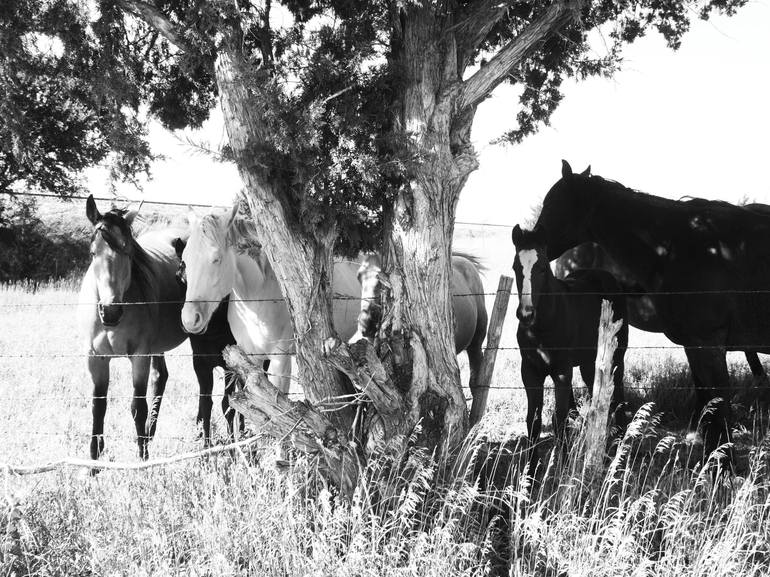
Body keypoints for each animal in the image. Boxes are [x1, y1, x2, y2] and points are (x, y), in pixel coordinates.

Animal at [78, 196, 188, 462]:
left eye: (128, 252)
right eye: (92, 253)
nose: (110, 311)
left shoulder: (140, 356)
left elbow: (138, 407)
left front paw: (142, 459)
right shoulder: (95, 359)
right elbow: (98, 407)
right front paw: (94, 463)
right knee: (161, 377)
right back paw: (150, 434)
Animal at [171, 236, 243, 444]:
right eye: (179, 278)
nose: (190, 322)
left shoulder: (230, 366)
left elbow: (228, 405)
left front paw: (232, 447)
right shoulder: (200, 363)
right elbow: (206, 403)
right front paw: (206, 447)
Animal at [510, 223, 624, 444]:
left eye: (542, 268)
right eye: (515, 267)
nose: (526, 313)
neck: (544, 327)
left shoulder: (562, 371)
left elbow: (559, 419)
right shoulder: (529, 370)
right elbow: (533, 420)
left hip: (618, 352)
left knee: (618, 389)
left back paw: (622, 435)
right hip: (589, 360)